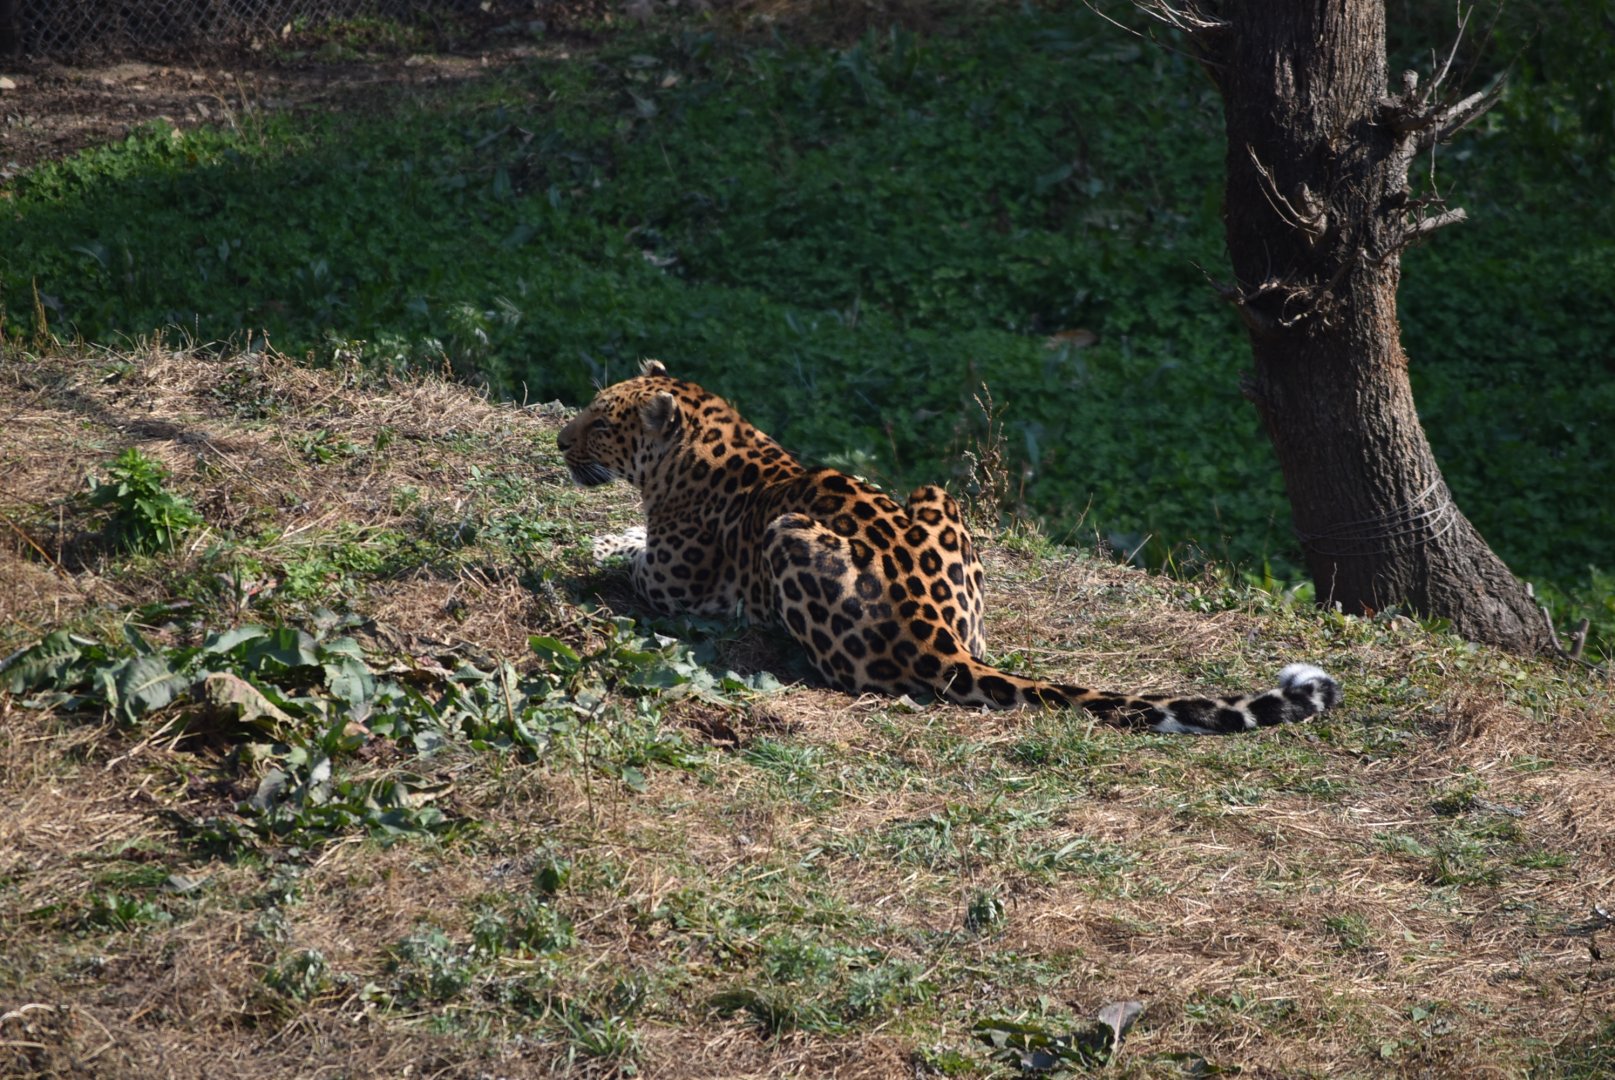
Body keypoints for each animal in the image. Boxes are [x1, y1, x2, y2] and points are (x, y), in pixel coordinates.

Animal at [557, 360, 1341, 734]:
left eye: (600, 422)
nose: (561, 441)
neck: (703, 440)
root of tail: (939, 635)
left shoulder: (674, 584)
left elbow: (630, 558)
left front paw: (598, 544)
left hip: (792, 540)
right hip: (935, 493)